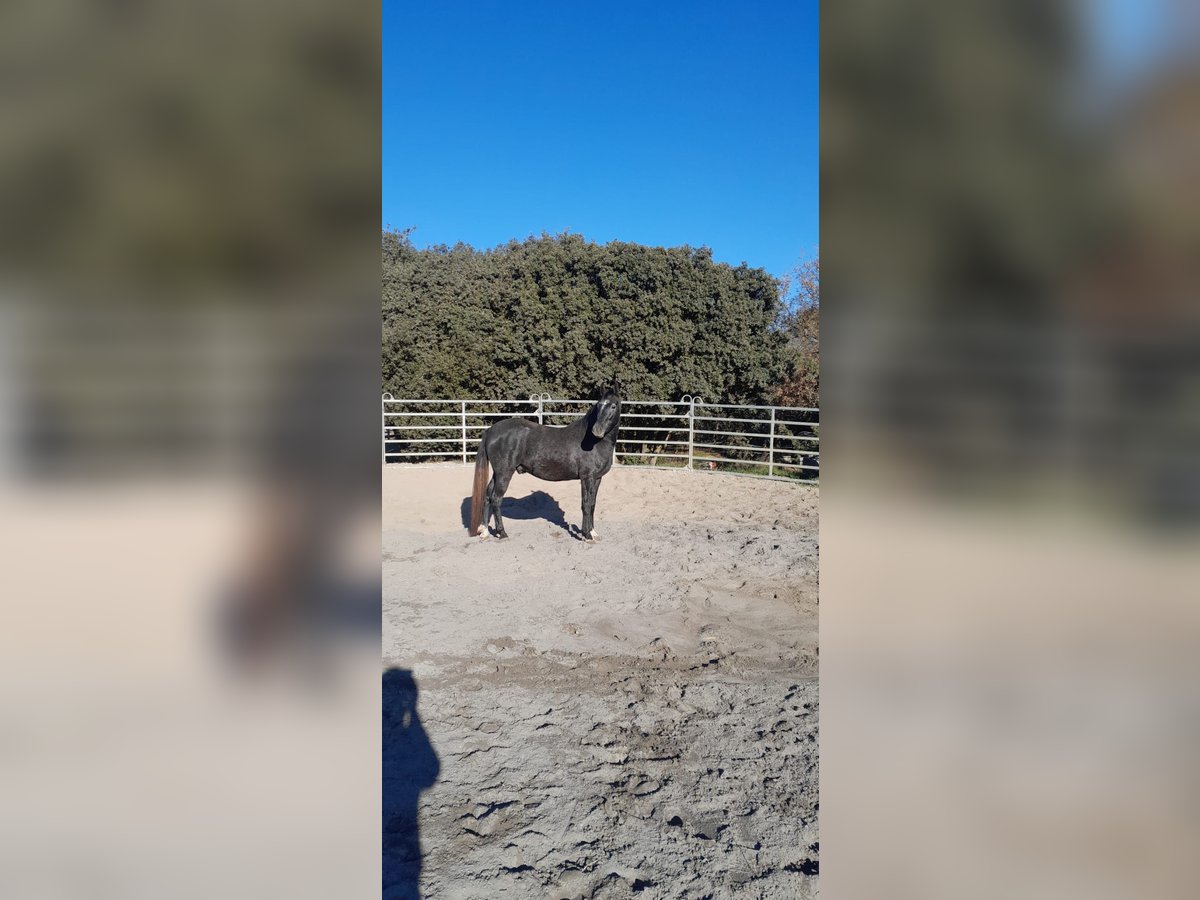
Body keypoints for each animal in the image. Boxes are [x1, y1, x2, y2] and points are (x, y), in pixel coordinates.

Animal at [465, 388, 624, 542]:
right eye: (599, 405)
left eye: (613, 405)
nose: (597, 430)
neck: (593, 442)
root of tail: (490, 430)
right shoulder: (587, 478)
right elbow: (585, 504)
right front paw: (586, 535)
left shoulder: (597, 478)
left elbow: (592, 505)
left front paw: (593, 532)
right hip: (504, 473)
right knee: (496, 499)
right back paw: (502, 533)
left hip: (497, 473)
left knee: (487, 495)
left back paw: (485, 531)